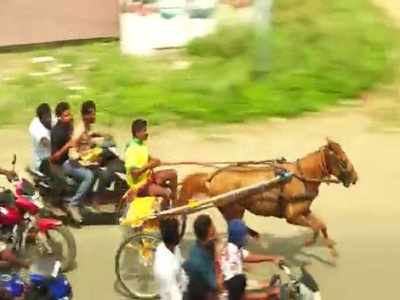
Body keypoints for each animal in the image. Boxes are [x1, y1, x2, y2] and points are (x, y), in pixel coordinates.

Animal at [177, 139, 358, 255]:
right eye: (342, 160)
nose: (355, 177)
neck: (300, 176)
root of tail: (211, 178)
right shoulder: (292, 216)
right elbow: (315, 227)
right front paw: (309, 242)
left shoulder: (304, 211)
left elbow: (322, 225)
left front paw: (331, 250)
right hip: (232, 207)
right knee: (234, 226)